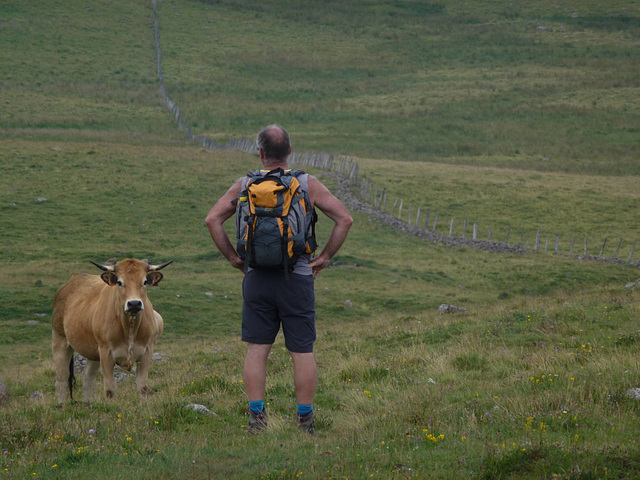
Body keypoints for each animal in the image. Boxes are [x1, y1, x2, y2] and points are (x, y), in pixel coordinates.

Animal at [52, 258, 171, 402]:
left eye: (144, 282)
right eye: (119, 282)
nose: (134, 303)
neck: (130, 328)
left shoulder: (147, 351)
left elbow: (143, 387)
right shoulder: (106, 353)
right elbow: (110, 390)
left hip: (93, 353)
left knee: (88, 379)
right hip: (60, 340)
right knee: (61, 380)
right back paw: (62, 405)